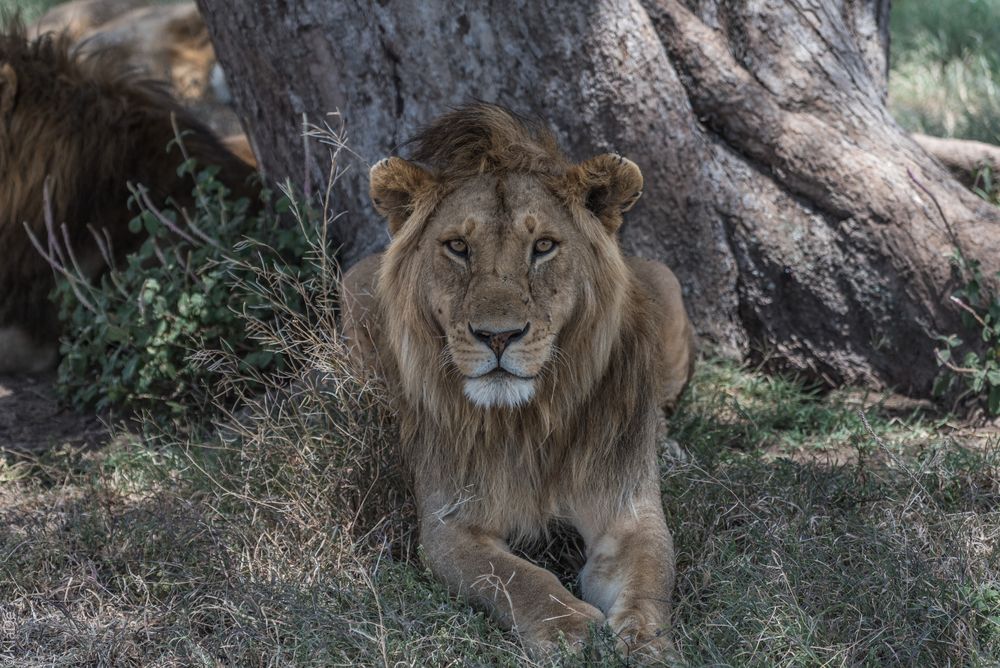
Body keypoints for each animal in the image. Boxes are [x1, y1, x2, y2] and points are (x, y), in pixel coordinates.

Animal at [344, 105, 696, 656]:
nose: (498, 336)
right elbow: (514, 577)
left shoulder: (629, 514)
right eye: (458, 246)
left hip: (668, 283)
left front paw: (646, 641)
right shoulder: (449, 527)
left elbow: (651, 577)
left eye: (544, 246)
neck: (527, 420)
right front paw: (569, 626)